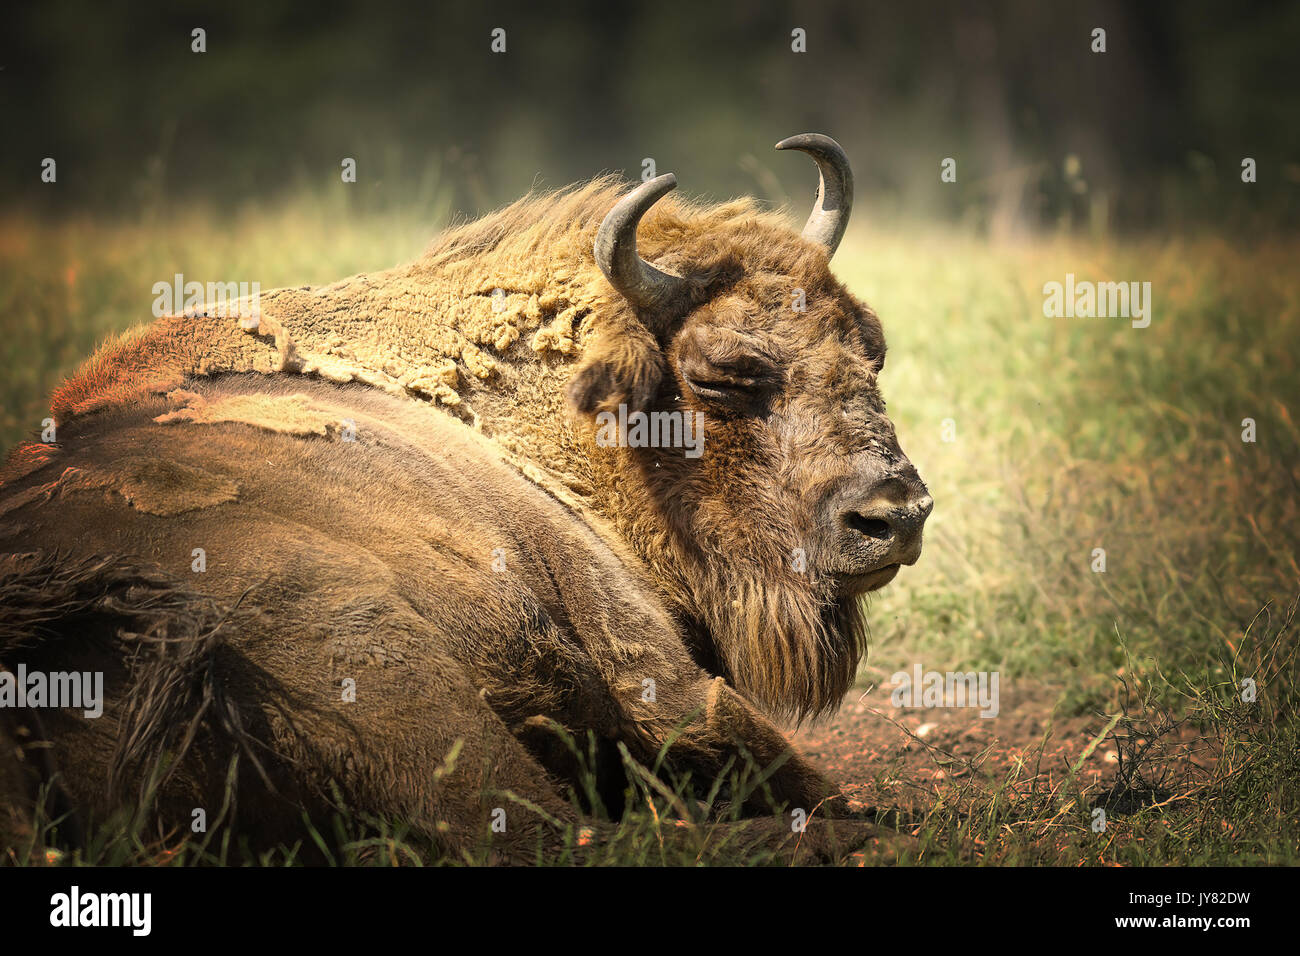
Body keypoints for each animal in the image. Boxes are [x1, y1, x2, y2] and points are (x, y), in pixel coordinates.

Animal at [2, 132, 935, 858]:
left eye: (872, 347)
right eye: (721, 373)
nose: (893, 516)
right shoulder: (656, 674)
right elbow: (741, 738)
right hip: (375, 651)